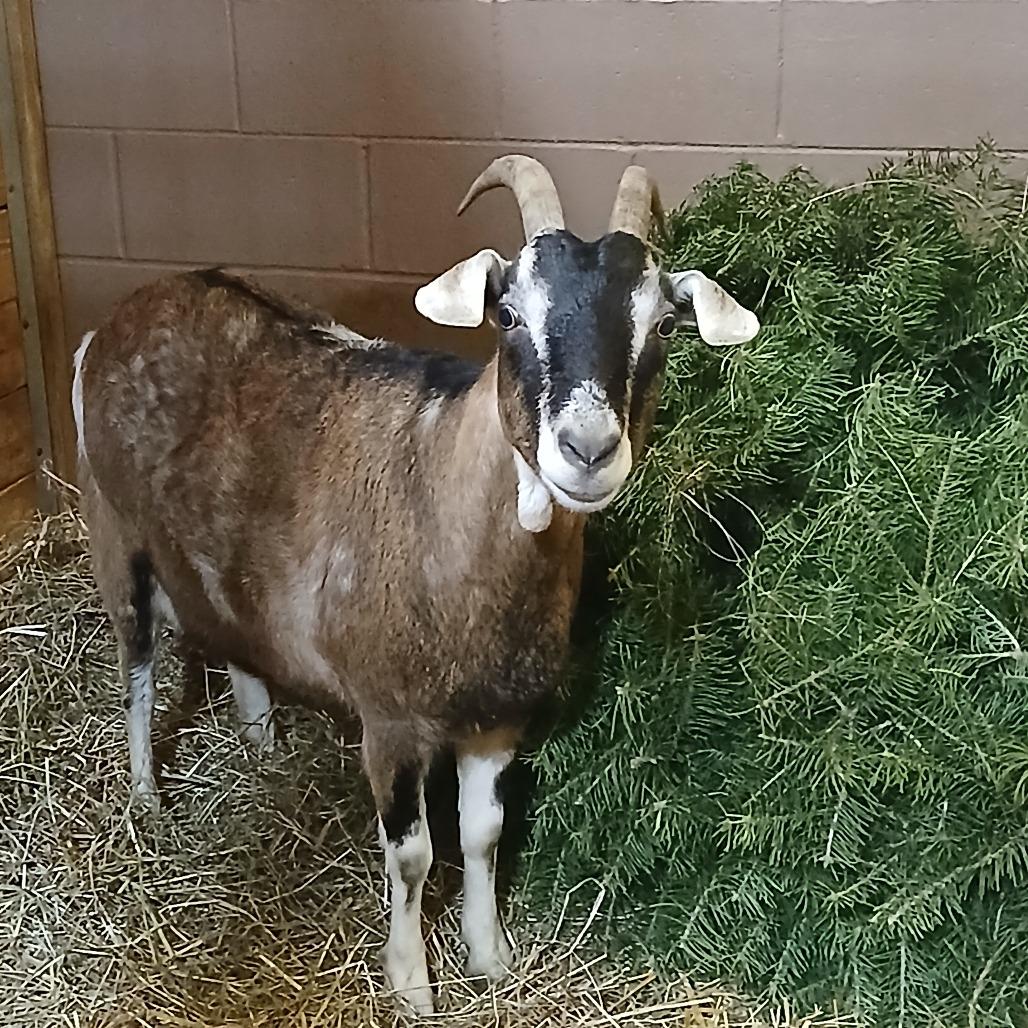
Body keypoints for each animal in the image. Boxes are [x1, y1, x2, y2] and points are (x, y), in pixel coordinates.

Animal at [74, 155, 759, 1014]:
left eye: (663, 325)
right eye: (509, 316)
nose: (586, 450)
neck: (438, 492)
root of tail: (120, 315)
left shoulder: (499, 718)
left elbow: (482, 835)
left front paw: (490, 956)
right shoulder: (391, 718)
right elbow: (413, 855)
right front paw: (411, 984)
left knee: (228, 625)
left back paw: (260, 734)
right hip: (115, 528)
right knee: (134, 663)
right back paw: (144, 794)